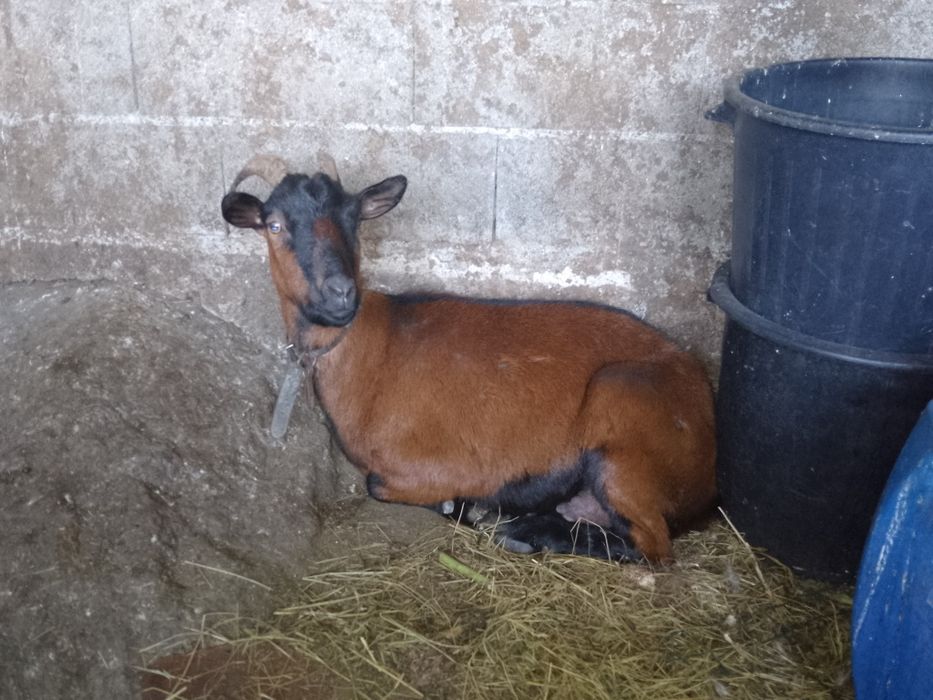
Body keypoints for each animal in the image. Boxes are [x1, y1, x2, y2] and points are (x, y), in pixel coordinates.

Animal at [221, 153, 716, 563]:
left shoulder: (440, 465)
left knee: (650, 545)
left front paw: (462, 506)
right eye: (274, 225)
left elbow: (379, 484)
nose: (341, 293)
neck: (370, 352)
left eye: (354, 219)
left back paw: (520, 531)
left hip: (622, 420)